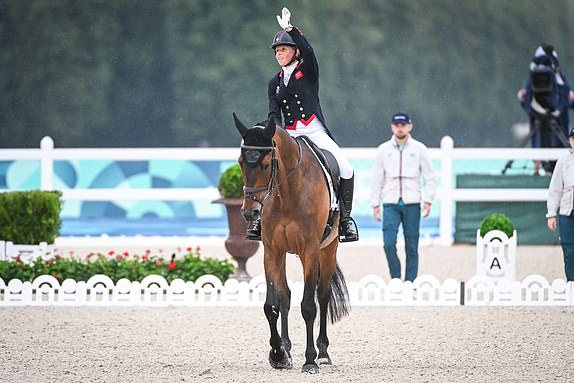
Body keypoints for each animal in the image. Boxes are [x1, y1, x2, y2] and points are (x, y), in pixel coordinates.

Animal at [233, 113, 352, 376]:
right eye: (241, 162)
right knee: (285, 295)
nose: (249, 212)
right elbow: (272, 304)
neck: (287, 191)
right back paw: (287, 347)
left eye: (266, 165)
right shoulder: (272, 251)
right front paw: (278, 354)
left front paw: (310, 361)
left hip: (327, 251)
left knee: (322, 296)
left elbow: (308, 305)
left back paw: (323, 353)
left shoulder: (310, 251)